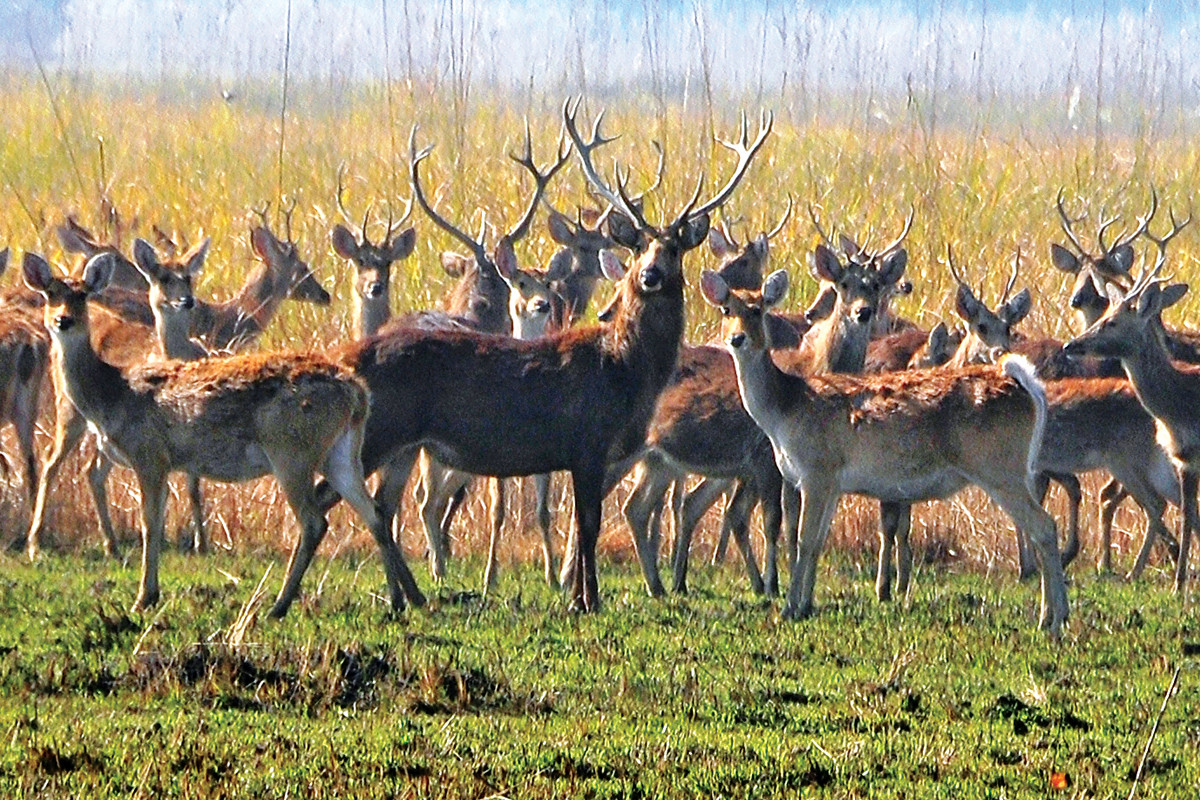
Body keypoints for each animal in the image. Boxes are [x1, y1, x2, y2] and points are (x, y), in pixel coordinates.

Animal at [23, 253, 417, 618]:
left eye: (82, 295)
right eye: (50, 293)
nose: (62, 320)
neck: (113, 394)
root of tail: (356, 393)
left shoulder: (149, 454)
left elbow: (150, 524)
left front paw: (144, 598)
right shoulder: (164, 461)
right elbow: (157, 521)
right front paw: (150, 594)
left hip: (292, 450)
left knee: (314, 521)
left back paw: (279, 605)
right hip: (342, 452)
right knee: (374, 514)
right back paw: (395, 602)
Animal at [700, 268, 1070, 638]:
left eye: (758, 309)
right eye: (726, 309)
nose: (736, 339)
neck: (784, 410)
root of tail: (1027, 388)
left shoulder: (816, 469)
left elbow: (804, 539)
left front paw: (790, 607)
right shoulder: (832, 482)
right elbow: (818, 541)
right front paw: (805, 605)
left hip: (999, 466)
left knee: (1044, 527)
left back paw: (1055, 619)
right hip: (1012, 469)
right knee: (1041, 528)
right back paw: (1050, 615)